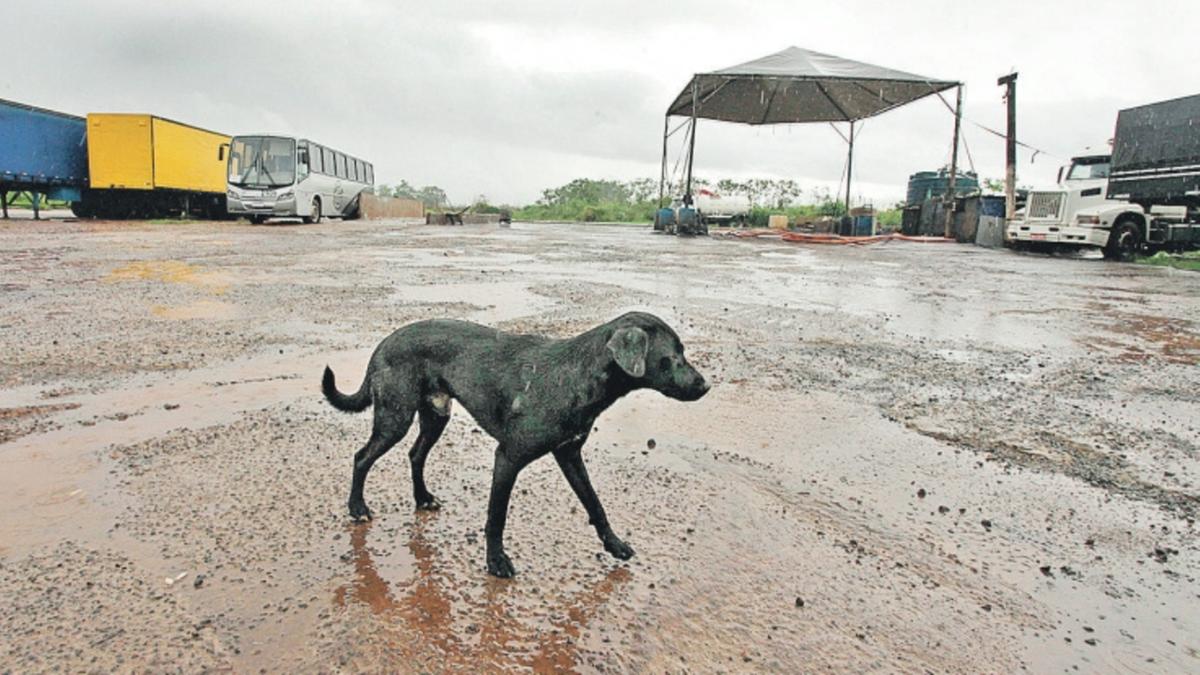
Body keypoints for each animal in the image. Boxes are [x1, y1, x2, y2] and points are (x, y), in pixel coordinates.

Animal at [321, 312, 710, 576]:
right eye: (673, 356)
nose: (705, 386)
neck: (577, 376)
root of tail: (384, 342)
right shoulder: (507, 457)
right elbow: (497, 517)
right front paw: (496, 561)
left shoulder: (569, 455)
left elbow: (595, 504)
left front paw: (614, 544)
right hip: (395, 418)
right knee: (361, 457)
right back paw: (357, 507)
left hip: (435, 415)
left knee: (415, 454)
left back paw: (423, 498)